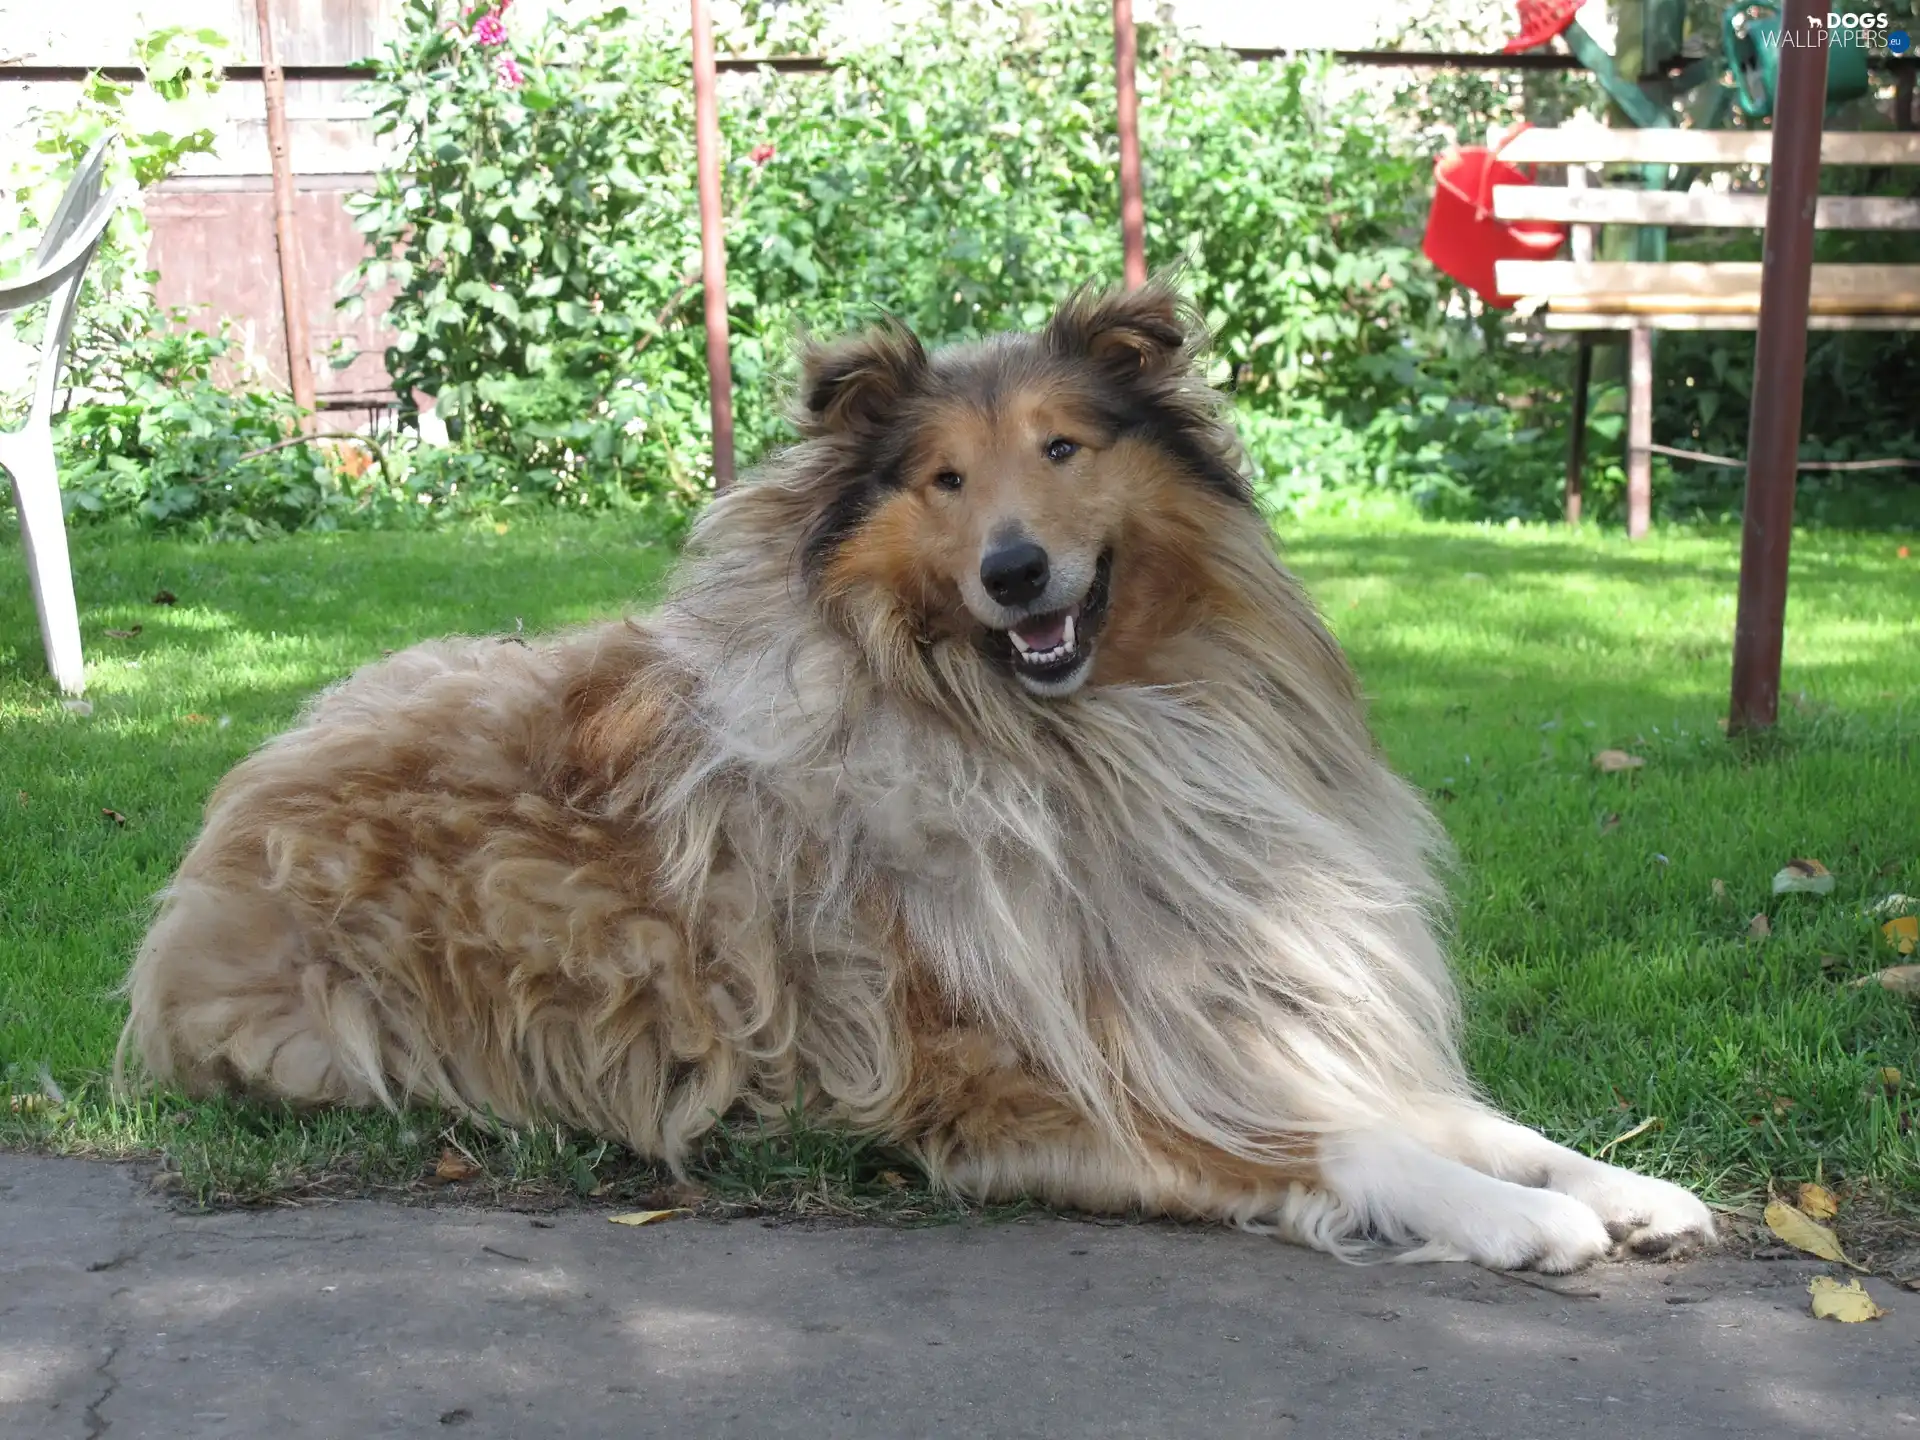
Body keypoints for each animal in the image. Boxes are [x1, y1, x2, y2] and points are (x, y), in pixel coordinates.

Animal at [120, 282, 1712, 1274]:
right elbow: (1361, 1152)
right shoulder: (1043, 1095)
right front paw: (1516, 1226)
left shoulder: (1242, 1021)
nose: (1015, 572)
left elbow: (1483, 1124)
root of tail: (222, 819)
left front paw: (1627, 1188)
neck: (1084, 750)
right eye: (943, 479)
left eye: (1063, 447)